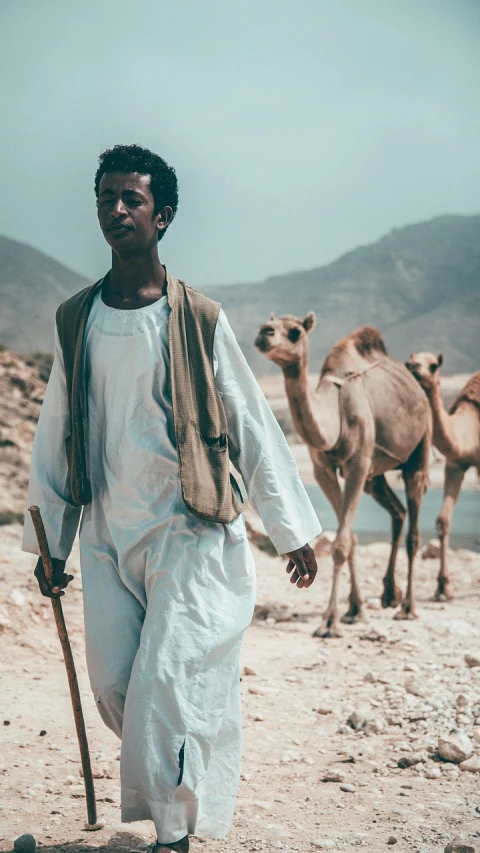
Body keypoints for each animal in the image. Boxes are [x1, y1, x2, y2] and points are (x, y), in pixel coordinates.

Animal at [255, 316, 432, 636]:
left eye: (295, 331)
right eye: (267, 324)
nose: (265, 334)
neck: (334, 415)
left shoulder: (357, 464)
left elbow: (340, 544)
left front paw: (329, 621)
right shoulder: (323, 470)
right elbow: (349, 540)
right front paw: (354, 610)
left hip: (419, 447)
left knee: (413, 527)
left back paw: (407, 607)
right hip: (376, 477)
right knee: (398, 512)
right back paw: (389, 594)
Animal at [404, 352, 480, 600]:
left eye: (434, 365)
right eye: (411, 361)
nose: (413, 369)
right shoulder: (455, 464)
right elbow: (442, 521)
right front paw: (442, 587)